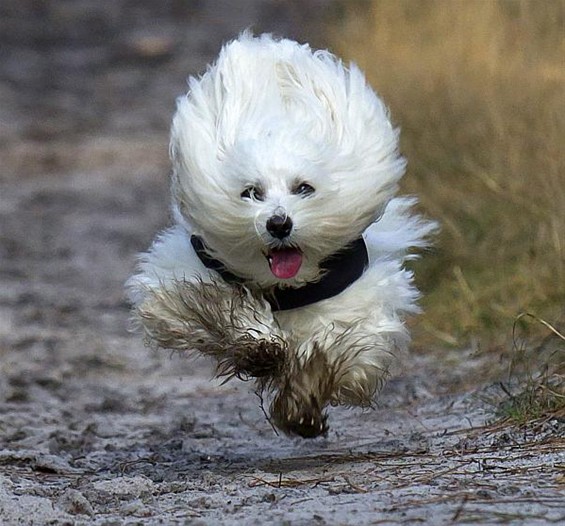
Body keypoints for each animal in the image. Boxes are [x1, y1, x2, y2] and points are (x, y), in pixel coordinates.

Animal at [128, 32, 434, 438]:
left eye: (303, 188)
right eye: (252, 192)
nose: (278, 224)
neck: (285, 283)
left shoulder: (356, 304)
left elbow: (338, 348)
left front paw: (304, 399)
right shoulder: (184, 276)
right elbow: (217, 304)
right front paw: (260, 346)